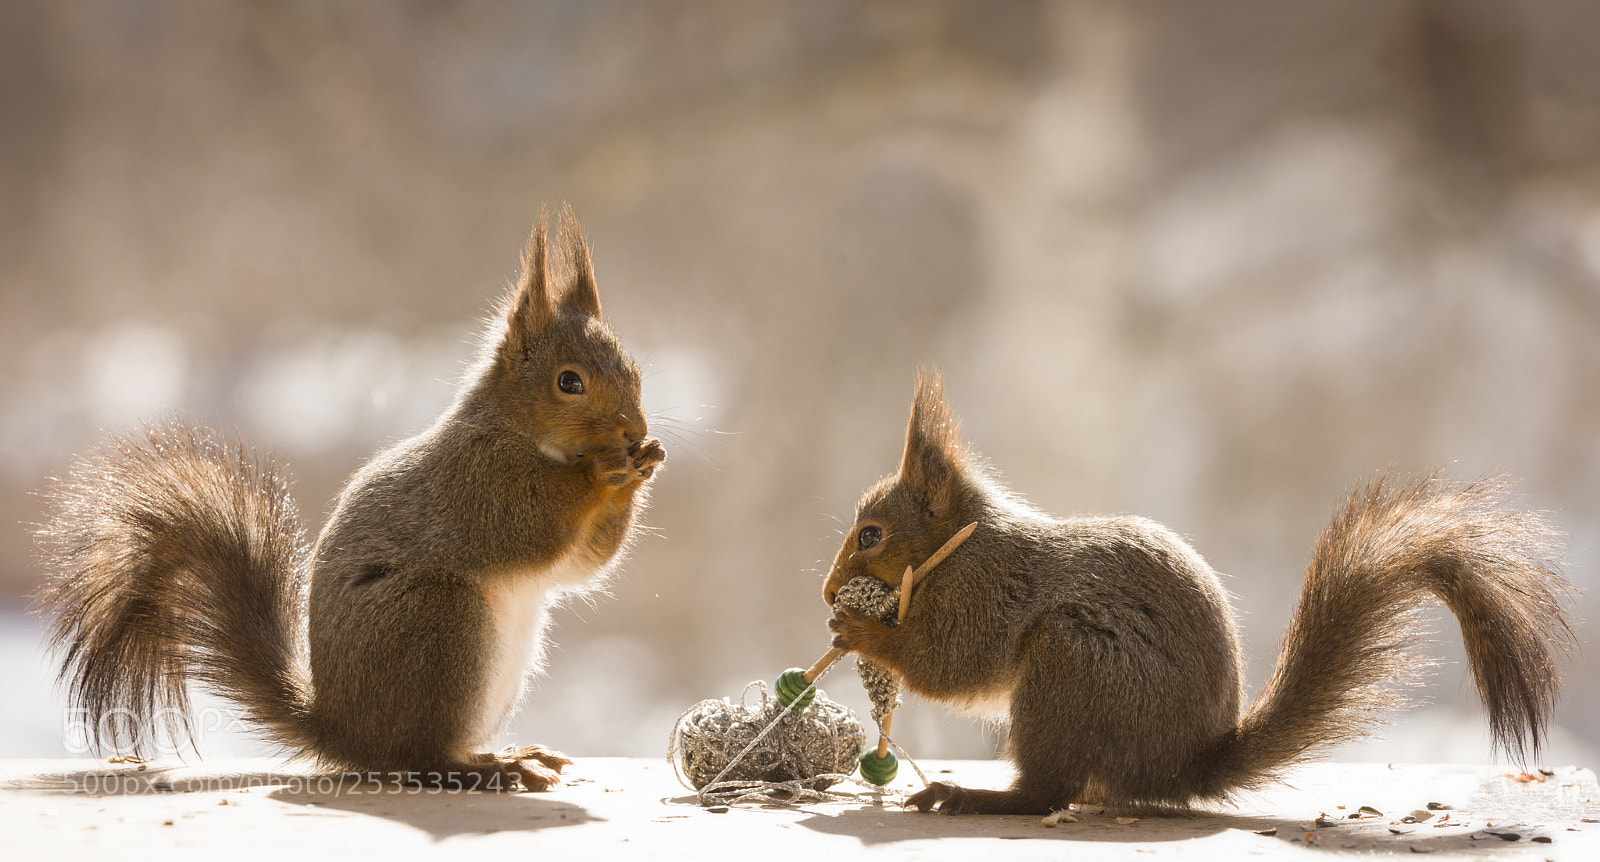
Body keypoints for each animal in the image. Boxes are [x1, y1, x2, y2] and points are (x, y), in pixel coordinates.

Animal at [34, 207, 664, 791]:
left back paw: (508, 755)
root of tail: (344, 733)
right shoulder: (476, 485)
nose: (634, 430)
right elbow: (530, 523)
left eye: (633, 370)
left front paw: (645, 464)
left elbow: (584, 564)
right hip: (438, 624)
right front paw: (604, 471)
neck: (517, 432)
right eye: (569, 382)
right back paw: (490, 770)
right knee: (419, 758)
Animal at [825, 369, 1574, 814]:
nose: (830, 590)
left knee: (1047, 793)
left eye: (871, 535)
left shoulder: (988, 594)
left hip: (1073, 664)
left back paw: (977, 797)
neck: (960, 547)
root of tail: (1183, 768)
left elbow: (949, 665)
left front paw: (860, 632)